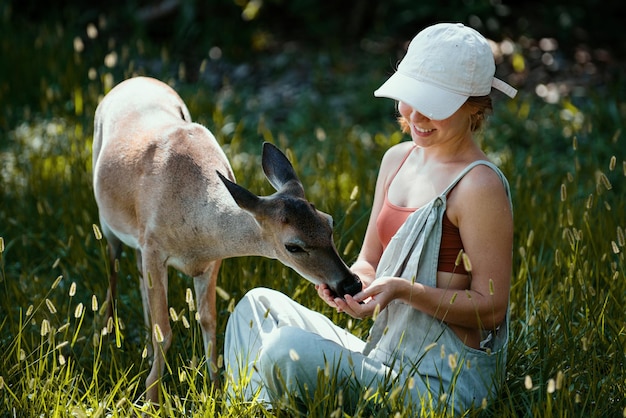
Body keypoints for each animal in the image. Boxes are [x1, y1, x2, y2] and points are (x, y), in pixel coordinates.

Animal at [90, 76, 358, 404]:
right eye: (293, 246)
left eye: (329, 223)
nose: (351, 284)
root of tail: (134, 79)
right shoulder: (154, 246)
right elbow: (164, 330)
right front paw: (152, 397)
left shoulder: (210, 260)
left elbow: (208, 320)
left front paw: (215, 390)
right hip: (107, 221)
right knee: (113, 269)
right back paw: (105, 334)